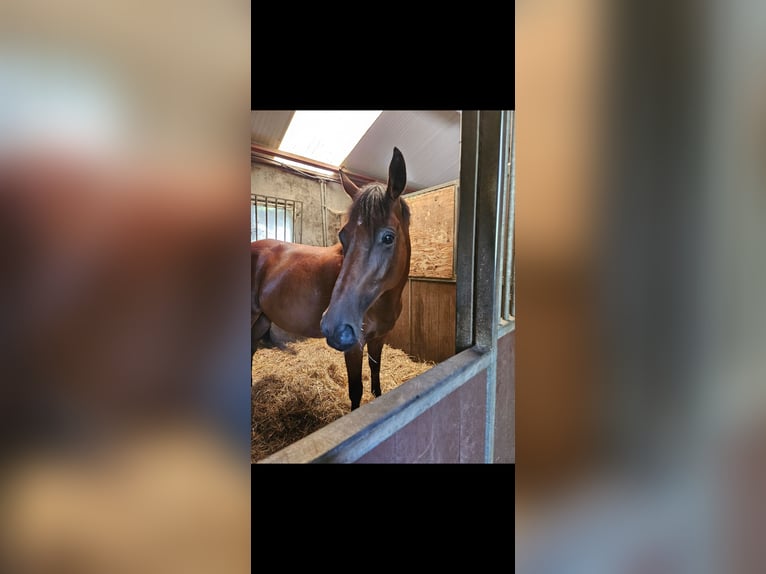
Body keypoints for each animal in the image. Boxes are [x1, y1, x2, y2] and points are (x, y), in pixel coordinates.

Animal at [252, 146, 412, 412]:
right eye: (343, 235)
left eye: (388, 237)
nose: (333, 326)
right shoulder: (354, 346)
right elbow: (356, 390)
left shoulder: (379, 339)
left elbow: (376, 376)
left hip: (262, 319)